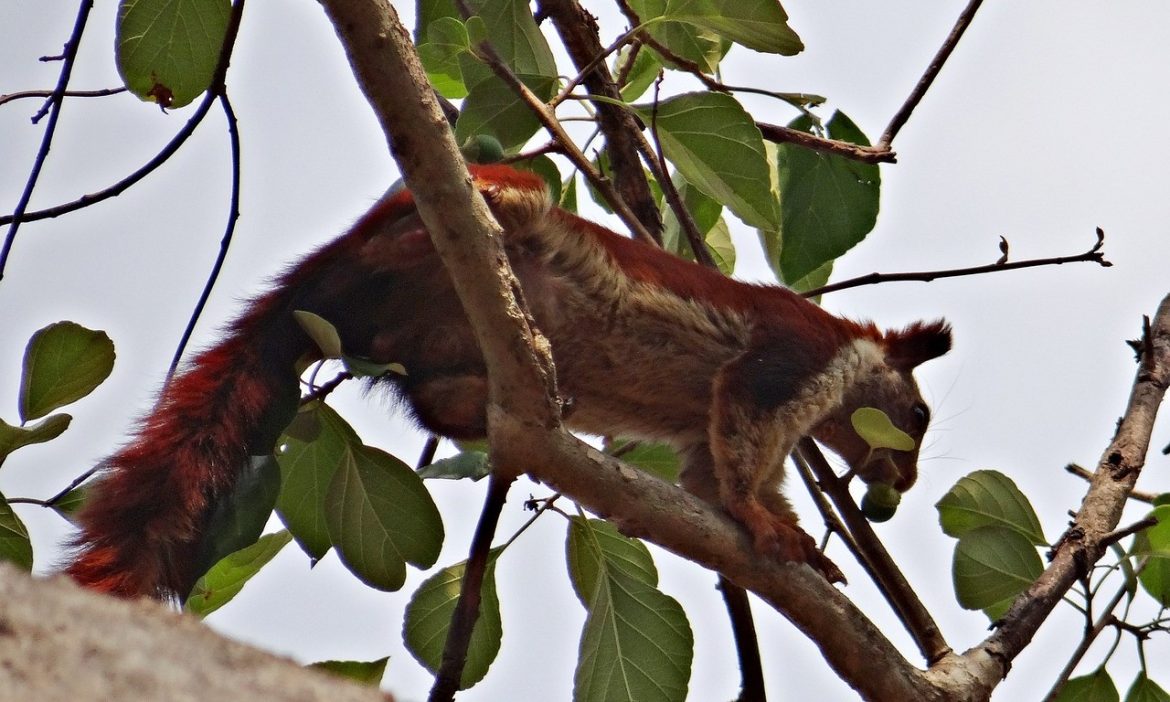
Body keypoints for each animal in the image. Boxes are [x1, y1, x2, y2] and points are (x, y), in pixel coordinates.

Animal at [65, 164, 950, 598]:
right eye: (917, 414)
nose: (903, 482)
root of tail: (331, 278)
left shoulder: (728, 431)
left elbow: (713, 473)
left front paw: (800, 546)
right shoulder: (789, 356)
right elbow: (741, 438)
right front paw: (767, 525)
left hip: (422, 349)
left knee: (429, 399)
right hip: (444, 220)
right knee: (482, 202)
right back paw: (481, 203)